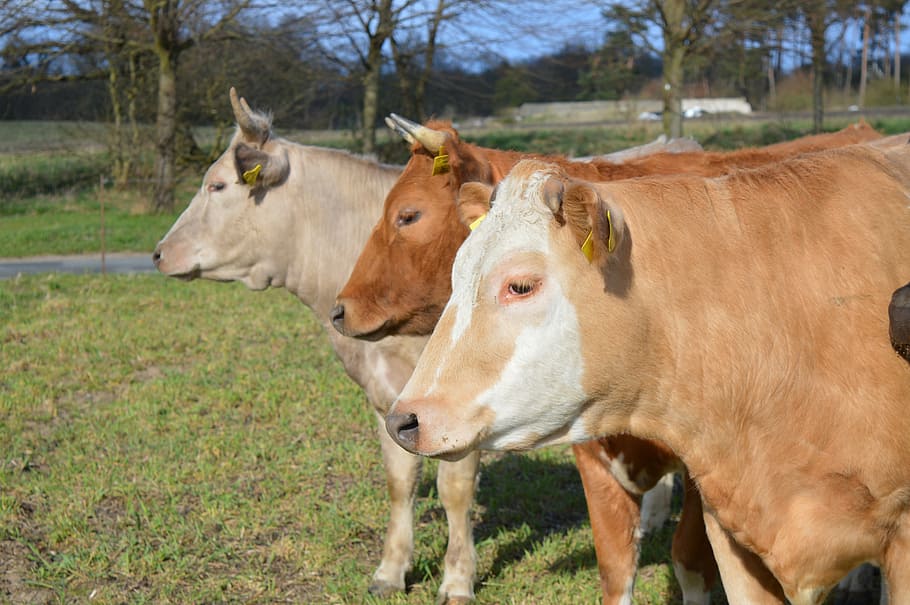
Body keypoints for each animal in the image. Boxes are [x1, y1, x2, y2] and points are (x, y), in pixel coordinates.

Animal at [152, 88, 480, 604]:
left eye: (218, 185)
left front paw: (457, 580)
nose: (159, 253)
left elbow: (455, 490)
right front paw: (391, 570)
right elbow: (399, 482)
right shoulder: (385, 399)